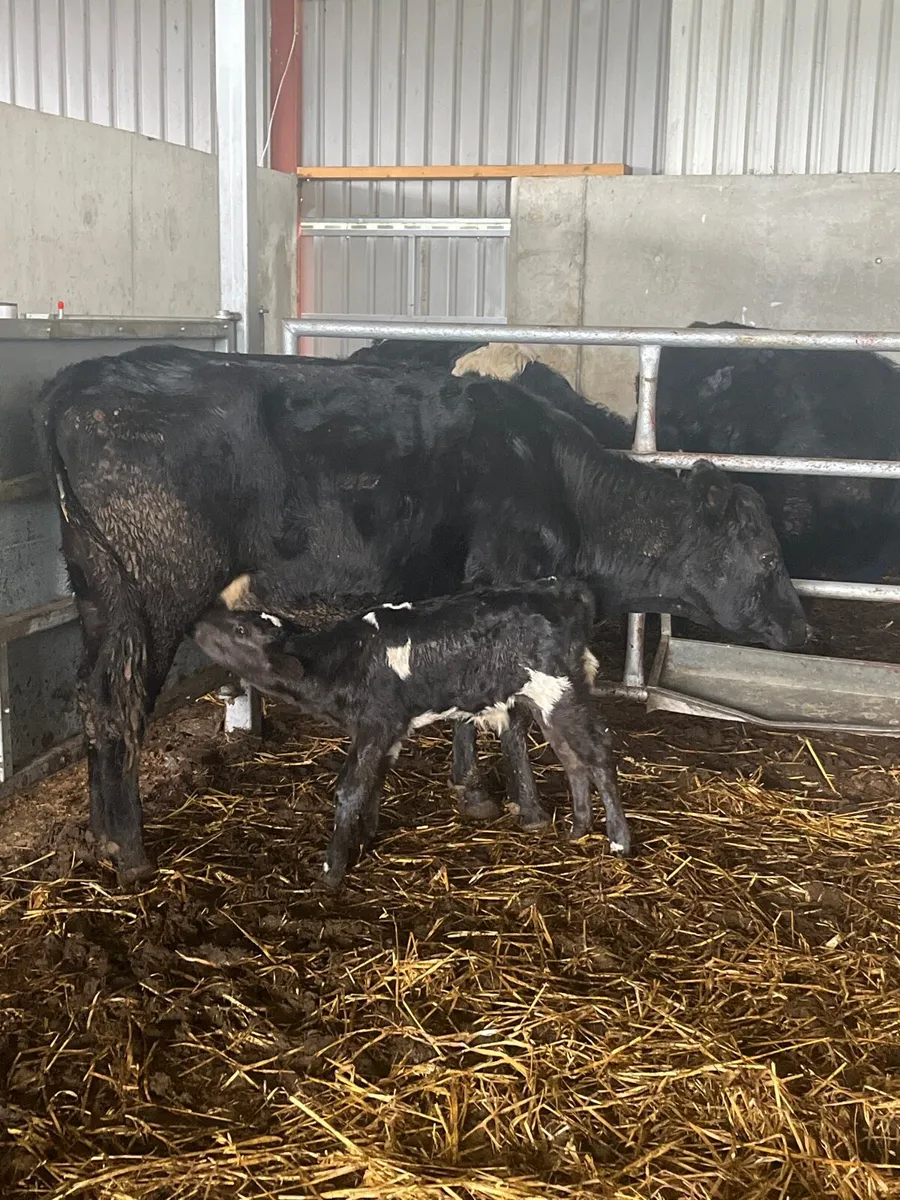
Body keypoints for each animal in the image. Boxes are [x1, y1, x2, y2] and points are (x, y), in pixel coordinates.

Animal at [192, 577, 631, 887]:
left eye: (242, 632)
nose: (198, 621)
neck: (347, 661)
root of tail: (561, 589)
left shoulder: (374, 725)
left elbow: (350, 789)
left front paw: (332, 870)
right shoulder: (387, 734)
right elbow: (373, 784)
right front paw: (365, 840)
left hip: (562, 691)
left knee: (598, 752)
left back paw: (619, 839)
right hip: (546, 701)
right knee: (572, 757)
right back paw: (577, 828)